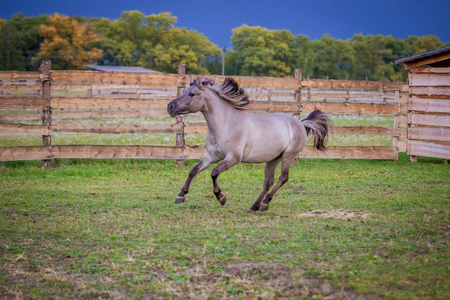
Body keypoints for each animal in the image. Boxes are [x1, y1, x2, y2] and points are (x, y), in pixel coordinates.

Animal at [167, 77, 328, 213]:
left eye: (192, 94)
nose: (170, 107)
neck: (225, 123)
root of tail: (300, 123)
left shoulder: (233, 158)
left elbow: (214, 173)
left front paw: (221, 197)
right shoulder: (212, 155)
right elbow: (193, 171)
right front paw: (180, 196)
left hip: (288, 156)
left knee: (283, 178)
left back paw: (265, 202)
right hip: (273, 158)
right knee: (268, 181)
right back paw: (255, 206)